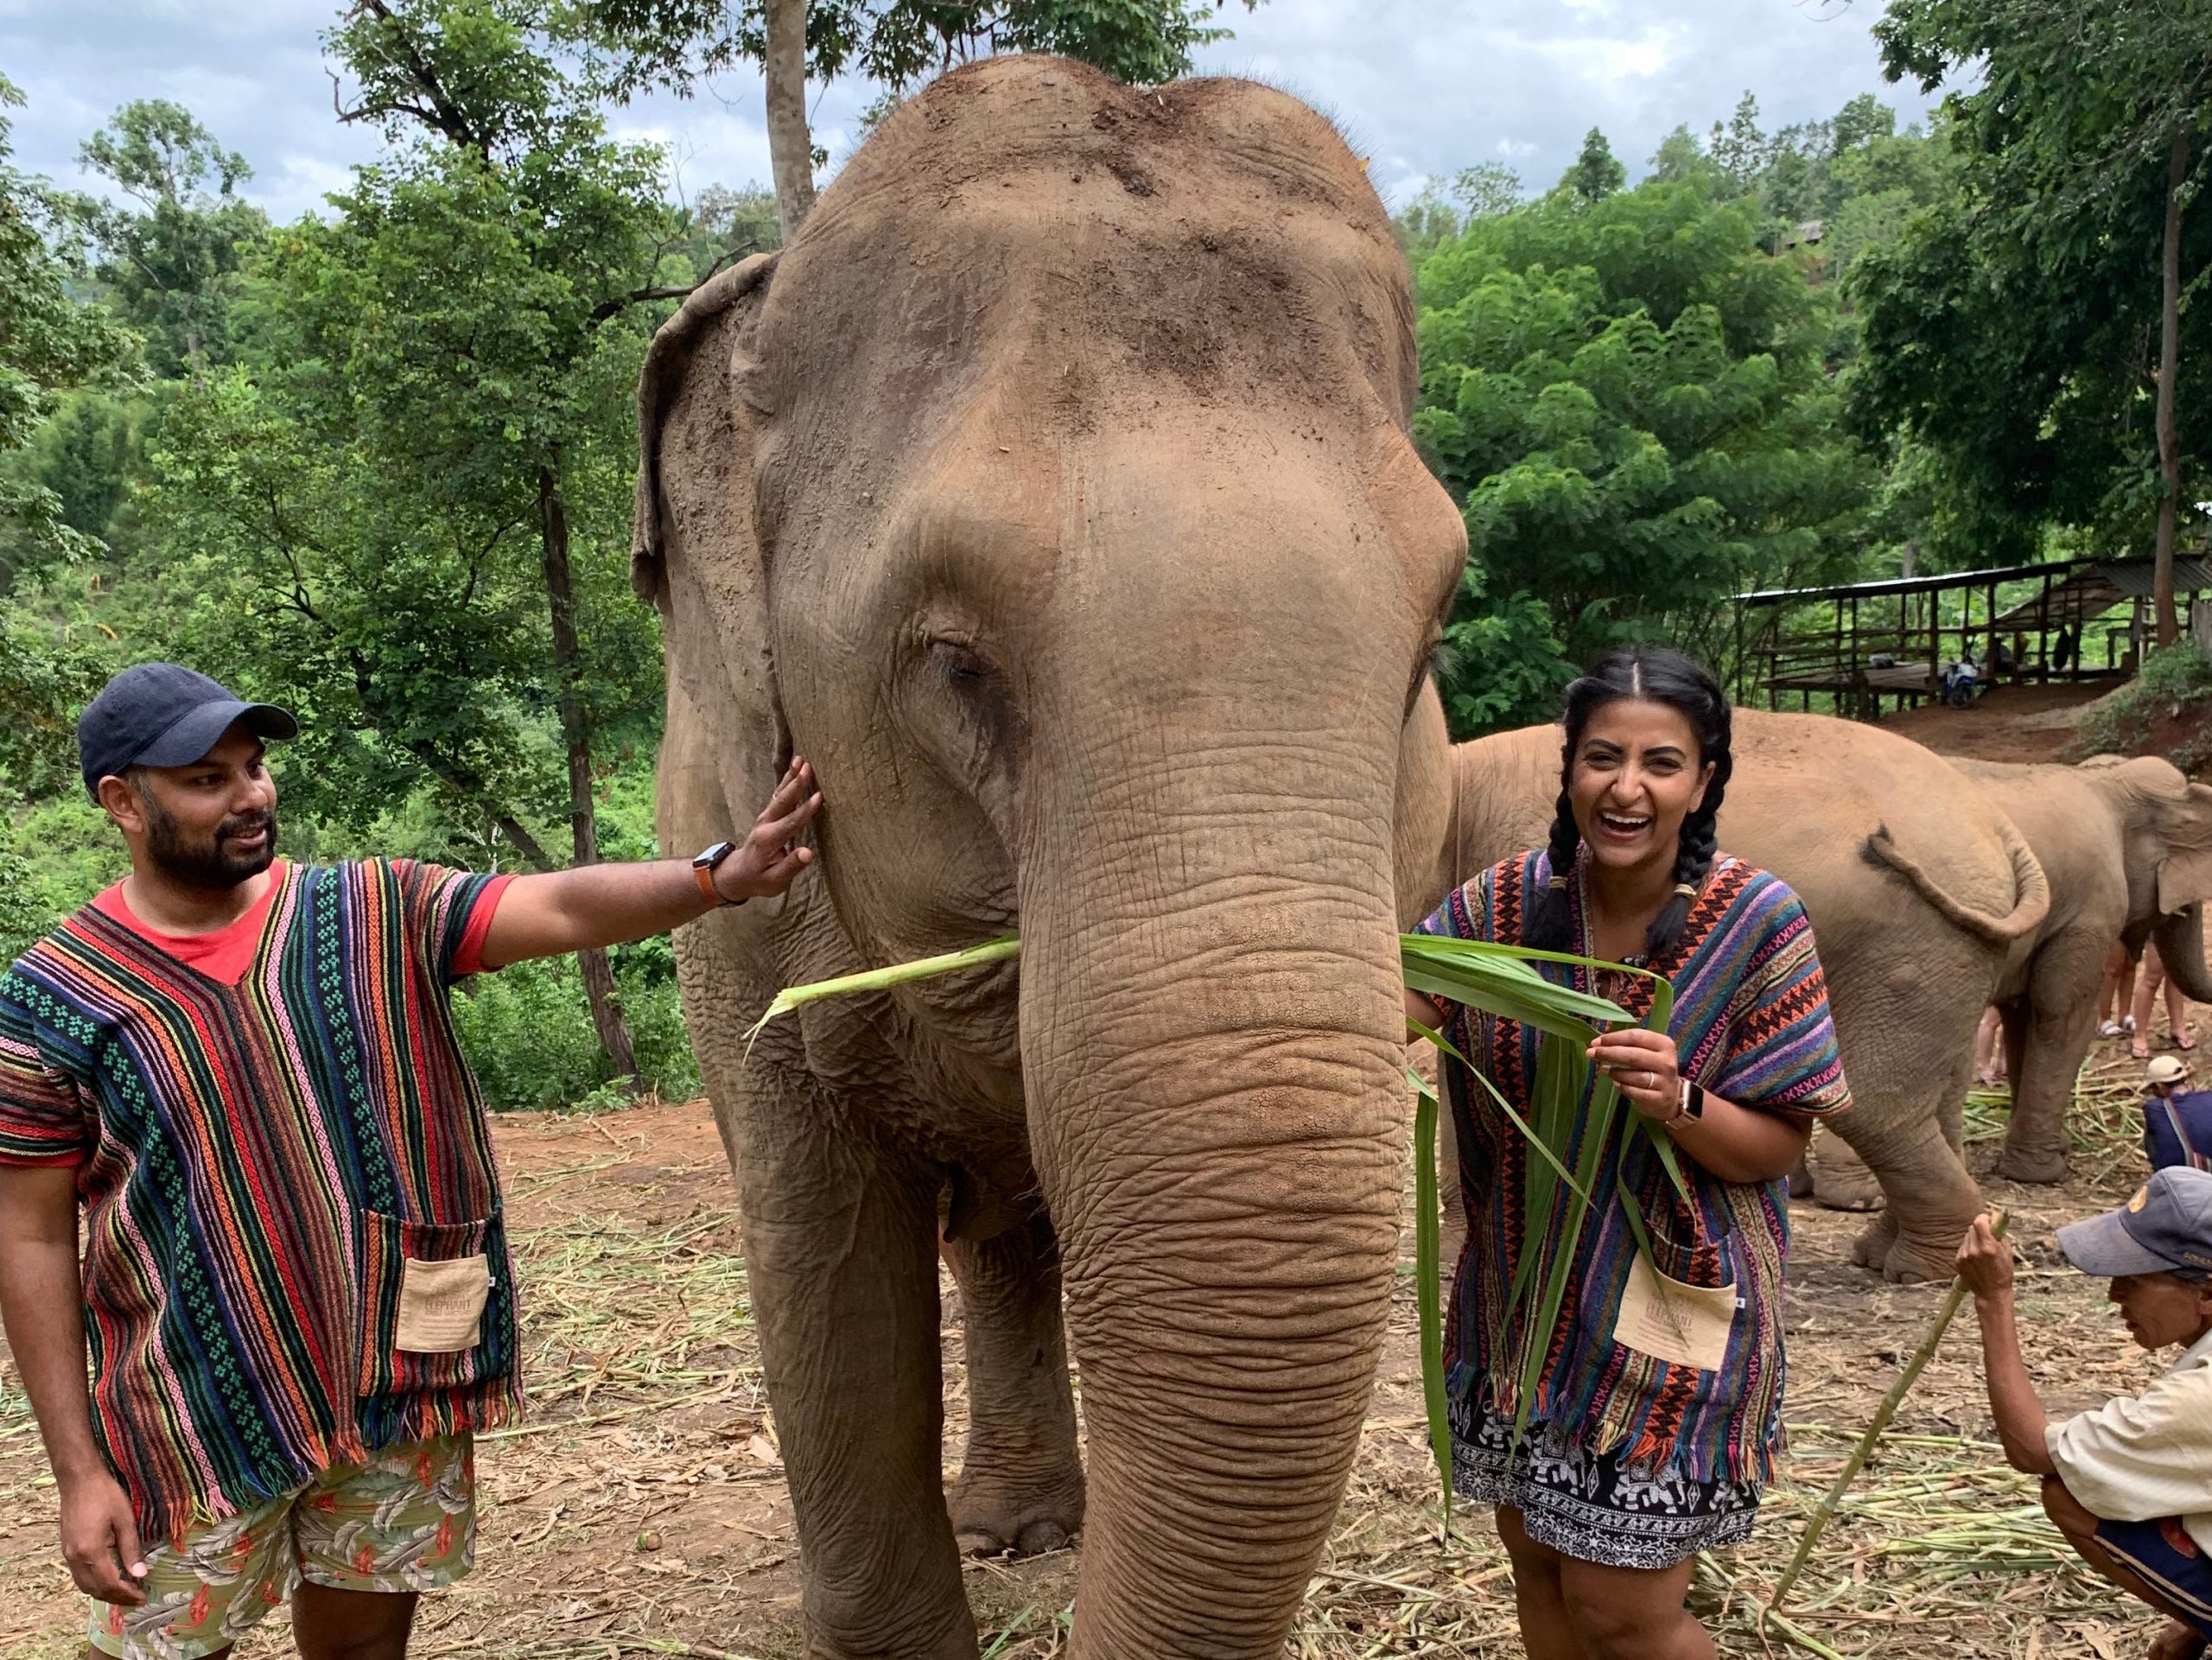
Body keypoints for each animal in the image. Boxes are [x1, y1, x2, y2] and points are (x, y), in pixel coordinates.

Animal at [1424, 708, 2044, 1283]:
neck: (1461, 773)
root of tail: (2001, 829)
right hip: (1958, 950)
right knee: (1937, 1097)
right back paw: (1918, 1249)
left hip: (1909, 950)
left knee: (1873, 1109)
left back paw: (1918, 1267)